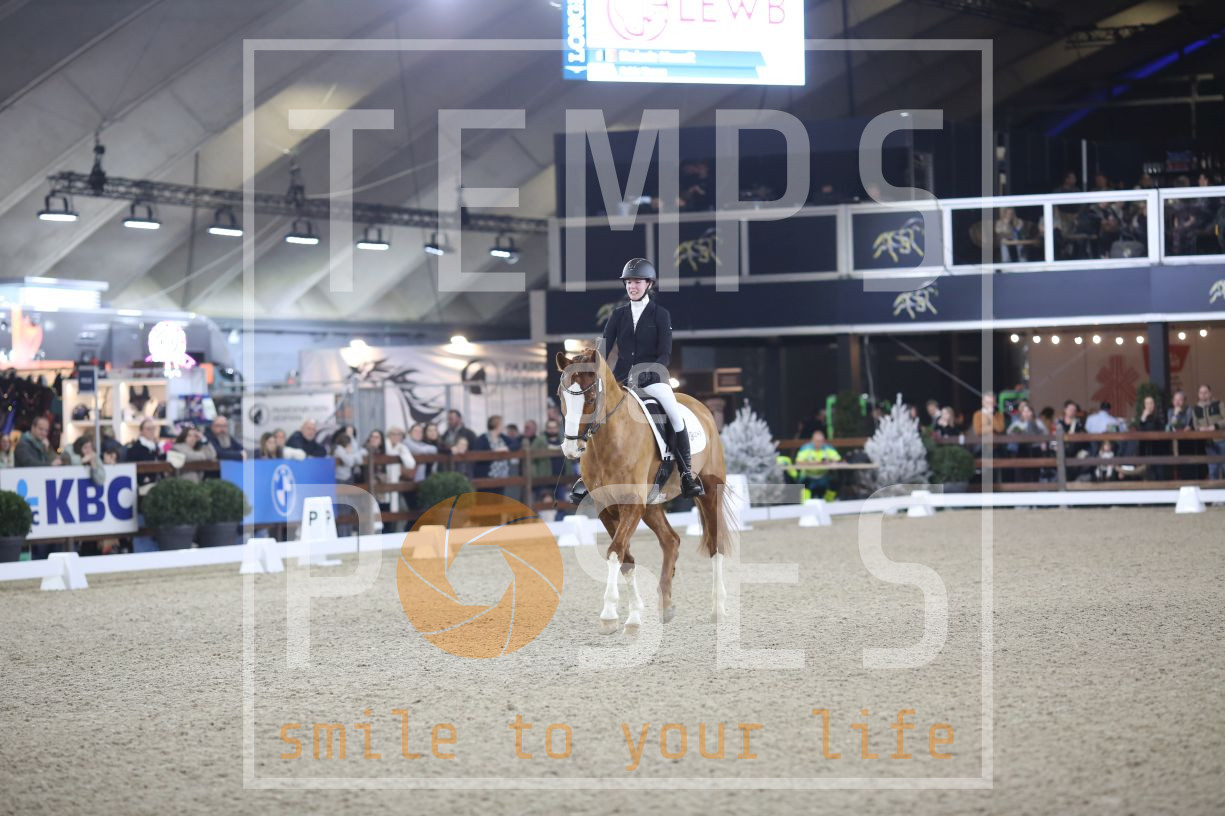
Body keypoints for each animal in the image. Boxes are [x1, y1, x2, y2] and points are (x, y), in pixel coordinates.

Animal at [555, 348, 738, 635]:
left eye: (592, 398)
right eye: (560, 396)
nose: (572, 449)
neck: (609, 441)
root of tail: (701, 407)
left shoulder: (632, 505)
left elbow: (615, 551)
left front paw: (609, 614)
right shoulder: (607, 508)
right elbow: (625, 557)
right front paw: (633, 616)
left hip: (709, 491)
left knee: (715, 543)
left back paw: (718, 608)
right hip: (652, 505)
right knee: (671, 541)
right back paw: (666, 605)